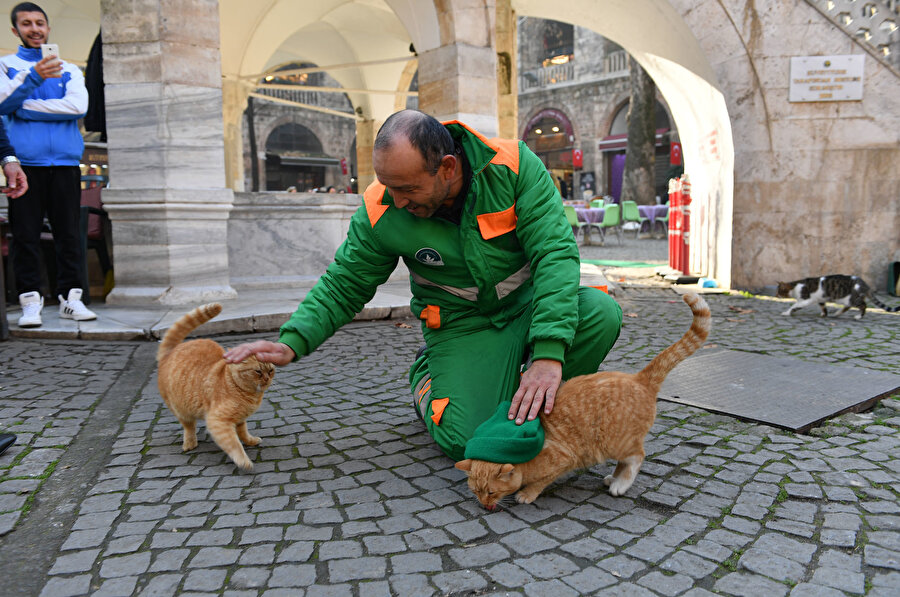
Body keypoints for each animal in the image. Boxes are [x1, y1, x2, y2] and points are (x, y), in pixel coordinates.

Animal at [156, 302, 274, 470]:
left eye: (270, 370)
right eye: (258, 371)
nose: (267, 379)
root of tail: (170, 352)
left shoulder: (240, 418)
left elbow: (243, 432)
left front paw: (250, 441)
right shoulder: (217, 420)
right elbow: (234, 445)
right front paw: (243, 461)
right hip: (180, 410)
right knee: (189, 427)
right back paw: (189, 444)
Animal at [458, 292, 712, 508]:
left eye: (491, 492)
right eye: (475, 491)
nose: (484, 505)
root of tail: (639, 378)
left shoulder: (563, 459)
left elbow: (541, 481)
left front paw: (527, 493)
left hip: (615, 441)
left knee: (637, 457)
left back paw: (621, 484)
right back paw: (614, 479)